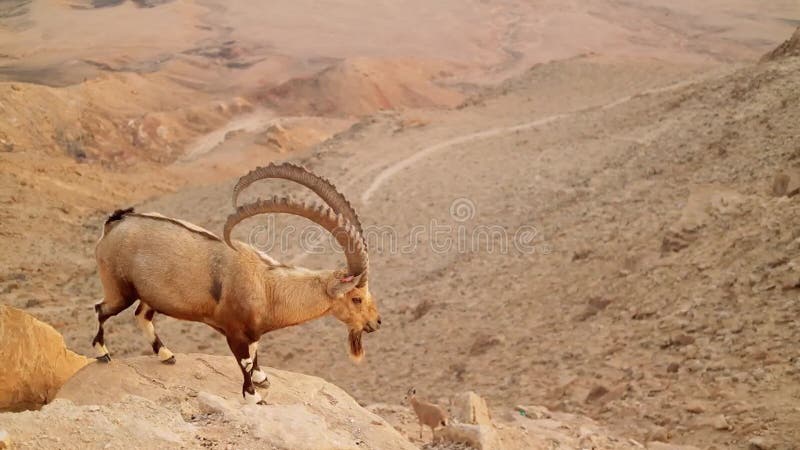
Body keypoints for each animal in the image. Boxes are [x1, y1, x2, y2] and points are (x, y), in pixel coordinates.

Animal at [94, 163, 382, 402]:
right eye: (356, 298)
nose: (376, 322)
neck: (268, 288)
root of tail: (114, 224)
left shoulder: (253, 333)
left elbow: (255, 354)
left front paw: (262, 379)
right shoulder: (234, 332)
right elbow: (244, 361)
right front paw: (253, 396)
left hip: (151, 295)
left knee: (141, 315)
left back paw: (166, 355)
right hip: (120, 289)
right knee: (102, 309)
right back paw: (102, 352)